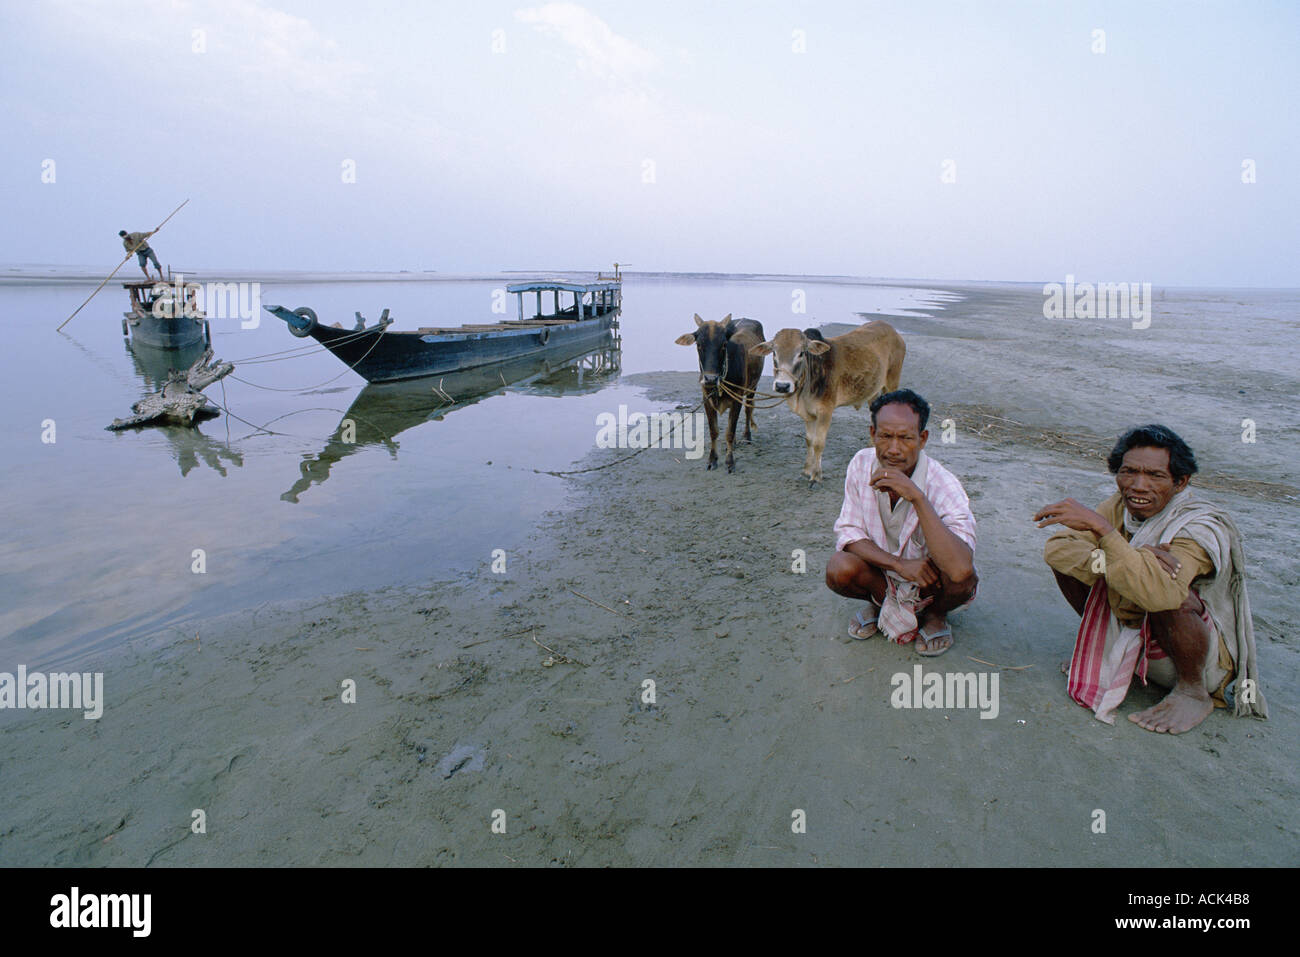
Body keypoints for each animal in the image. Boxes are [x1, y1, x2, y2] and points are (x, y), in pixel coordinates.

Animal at [676, 315, 764, 473]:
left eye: (723, 344)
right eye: (698, 344)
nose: (710, 379)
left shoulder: (737, 398)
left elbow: (730, 431)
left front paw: (730, 462)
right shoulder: (707, 399)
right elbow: (714, 431)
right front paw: (712, 460)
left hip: (753, 387)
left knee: (748, 410)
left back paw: (747, 437)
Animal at [754, 321, 904, 486]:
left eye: (801, 353)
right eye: (774, 352)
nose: (782, 385)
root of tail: (891, 329)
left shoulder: (825, 411)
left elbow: (818, 443)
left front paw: (816, 475)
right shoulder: (808, 415)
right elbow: (809, 441)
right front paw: (806, 471)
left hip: (891, 383)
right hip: (873, 391)